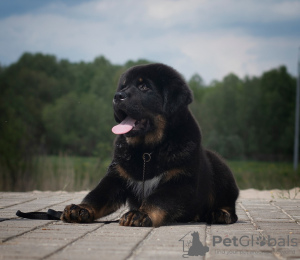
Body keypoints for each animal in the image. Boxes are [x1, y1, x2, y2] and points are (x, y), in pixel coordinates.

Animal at [61, 63, 239, 228]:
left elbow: (157, 199)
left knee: (230, 204)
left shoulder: (180, 181)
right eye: (123, 86)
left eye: (144, 87)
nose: (117, 96)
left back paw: (220, 214)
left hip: (221, 171)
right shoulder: (116, 176)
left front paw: (140, 214)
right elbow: (98, 195)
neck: (147, 150)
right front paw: (81, 208)